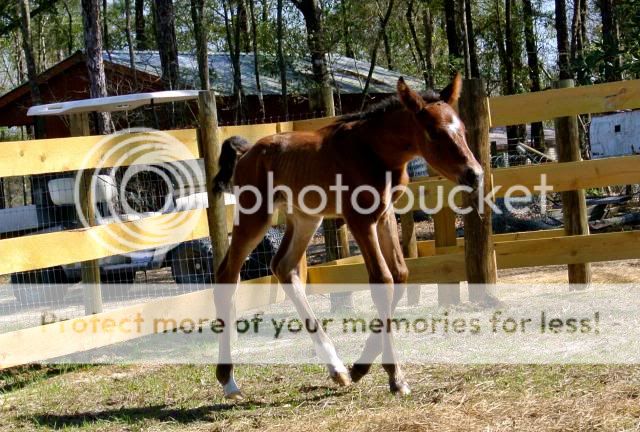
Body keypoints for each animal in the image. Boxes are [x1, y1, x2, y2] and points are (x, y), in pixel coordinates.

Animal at [212, 73, 482, 398]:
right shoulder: (360, 219)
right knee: (227, 275)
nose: (474, 174)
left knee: (283, 267)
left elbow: (401, 274)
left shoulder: (384, 215)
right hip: (255, 216)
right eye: (433, 132)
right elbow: (383, 280)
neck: (374, 151)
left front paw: (360, 367)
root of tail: (249, 151)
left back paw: (337, 369)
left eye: (462, 130)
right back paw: (228, 380)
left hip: (305, 218)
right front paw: (395, 376)